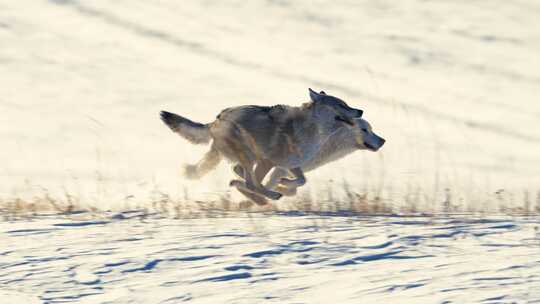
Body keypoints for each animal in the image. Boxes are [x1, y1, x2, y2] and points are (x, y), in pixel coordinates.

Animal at [158, 89, 364, 204]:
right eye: (342, 104)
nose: (361, 110)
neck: (313, 130)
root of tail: (215, 120)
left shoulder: (291, 164)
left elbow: (301, 180)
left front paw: (285, 183)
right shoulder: (269, 161)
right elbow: (256, 183)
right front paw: (274, 189)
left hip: (247, 159)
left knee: (240, 172)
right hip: (251, 158)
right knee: (250, 180)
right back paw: (269, 195)